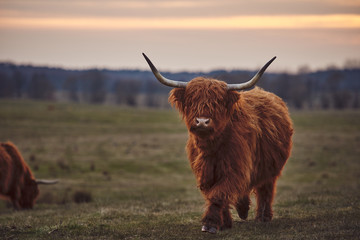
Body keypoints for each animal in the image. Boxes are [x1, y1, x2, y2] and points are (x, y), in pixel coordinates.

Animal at [142, 53, 294, 233]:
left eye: (217, 103)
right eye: (192, 101)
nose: (202, 121)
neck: (211, 148)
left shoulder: (235, 169)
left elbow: (219, 194)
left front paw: (210, 223)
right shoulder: (205, 173)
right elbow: (215, 194)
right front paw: (225, 222)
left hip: (271, 168)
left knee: (266, 190)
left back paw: (263, 217)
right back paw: (243, 209)